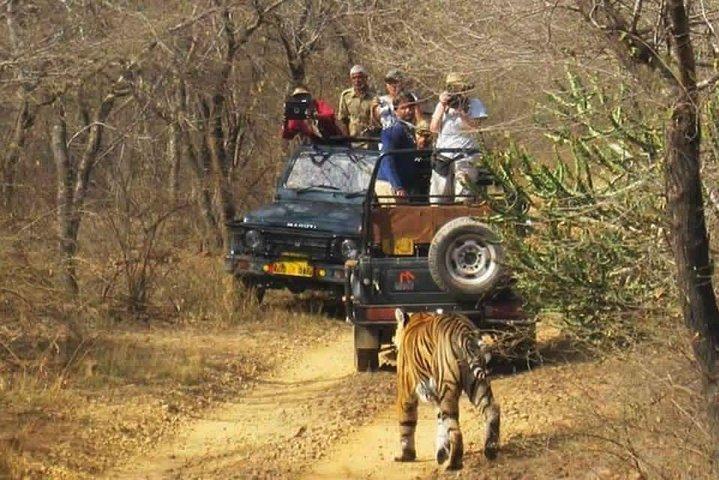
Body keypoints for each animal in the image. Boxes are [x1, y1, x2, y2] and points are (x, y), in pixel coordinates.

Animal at [393, 308, 500, 470]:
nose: (393, 338)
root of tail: (463, 329)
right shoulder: (436, 396)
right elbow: (440, 422)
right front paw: (442, 453)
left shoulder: (406, 392)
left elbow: (406, 423)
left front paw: (406, 456)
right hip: (477, 384)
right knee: (492, 409)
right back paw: (491, 449)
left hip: (447, 388)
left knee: (455, 429)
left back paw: (453, 464)